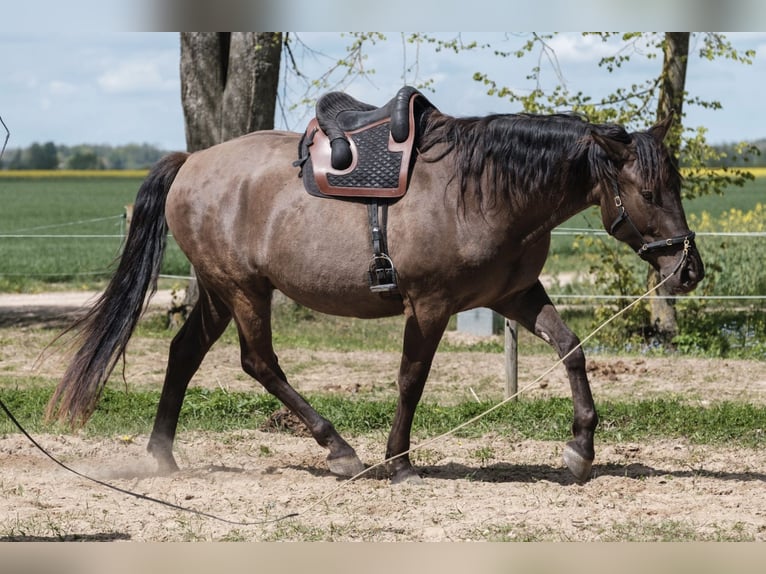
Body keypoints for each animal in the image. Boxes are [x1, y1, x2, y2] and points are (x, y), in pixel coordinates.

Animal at [46, 98, 703, 485]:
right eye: (649, 191)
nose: (689, 270)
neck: (481, 191)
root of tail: (191, 162)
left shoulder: (515, 295)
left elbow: (572, 349)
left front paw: (580, 448)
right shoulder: (431, 305)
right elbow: (412, 378)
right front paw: (399, 460)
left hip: (218, 291)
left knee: (185, 354)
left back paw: (164, 455)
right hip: (244, 291)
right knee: (259, 361)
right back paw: (338, 449)